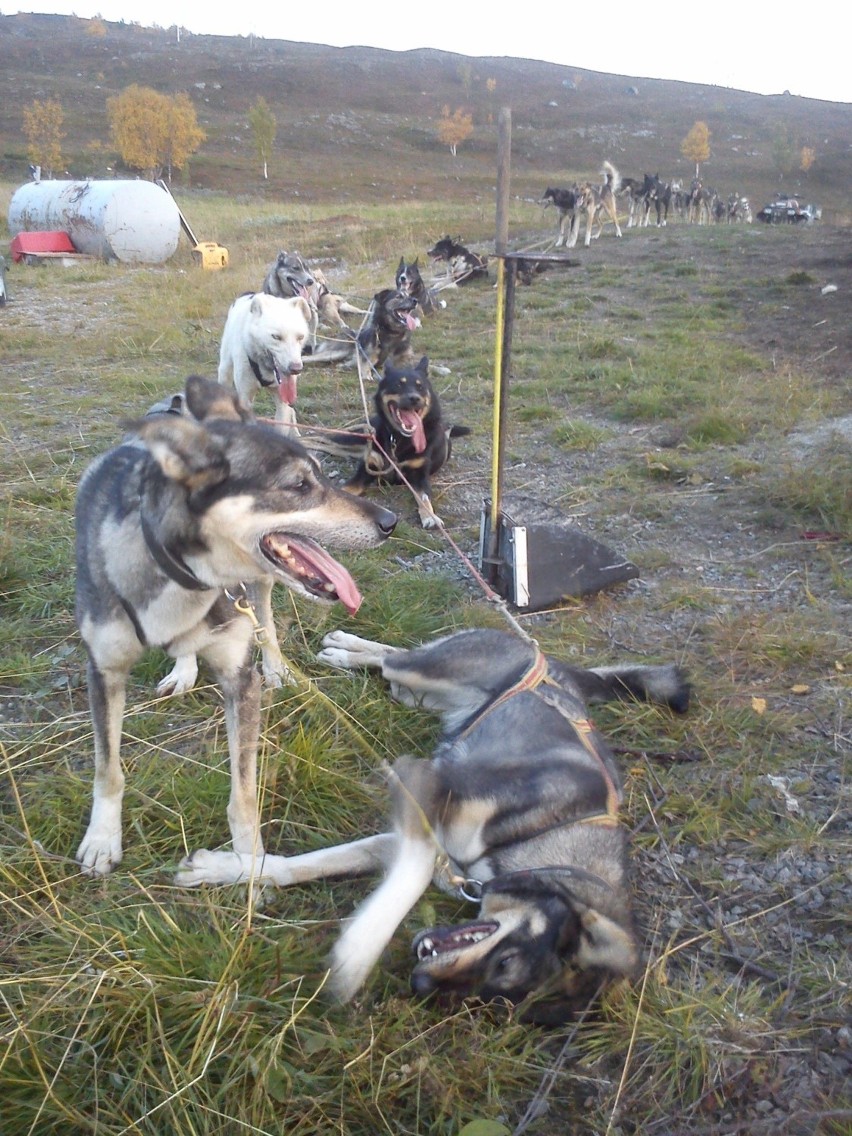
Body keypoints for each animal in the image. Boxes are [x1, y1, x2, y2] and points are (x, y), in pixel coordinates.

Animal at [74, 377, 395, 881]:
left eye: (321, 476)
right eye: (299, 485)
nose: (390, 522)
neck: (185, 575)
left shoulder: (240, 679)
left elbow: (244, 796)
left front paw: (248, 864)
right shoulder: (104, 671)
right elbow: (108, 770)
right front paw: (102, 838)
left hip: (262, 585)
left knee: (265, 620)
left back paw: (276, 666)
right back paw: (183, 668)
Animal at [181, 627, 695, 1017]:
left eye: (493, 998)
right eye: (505, 961)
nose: (421, 985)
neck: (552, 833)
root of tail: (552, 663)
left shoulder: (412, 836)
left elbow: (302, 866)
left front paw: (225, 870)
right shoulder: (432, 797)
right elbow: (402, 877)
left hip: (417, 694)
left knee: (391, 664)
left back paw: (350, 650)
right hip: (429, 671)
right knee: (398, 657)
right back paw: (345, 648)